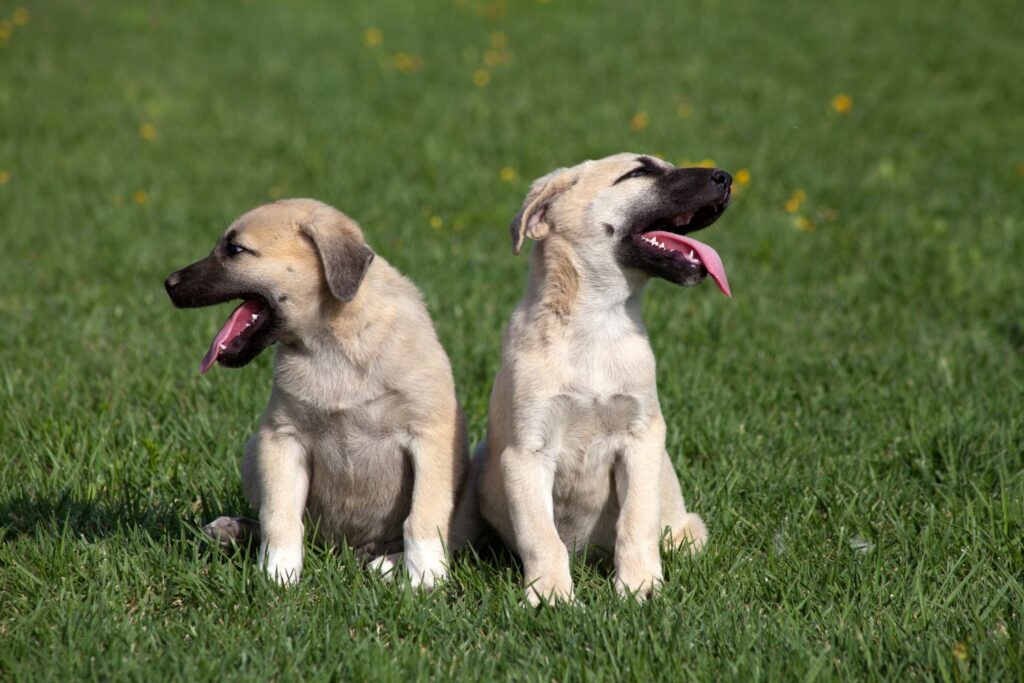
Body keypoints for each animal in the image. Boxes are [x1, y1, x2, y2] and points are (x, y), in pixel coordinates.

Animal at [164, 197, 475, 589]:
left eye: (235, 249)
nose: (168, 283)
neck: (333, 342)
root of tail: (348, 549)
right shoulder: (281, 438)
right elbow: (279, 515)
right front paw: (277, 574)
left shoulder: (430, 436)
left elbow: (423, 515)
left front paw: (423, 579)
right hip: (254, 452)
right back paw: (231, 530)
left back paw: (386, 565)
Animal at [473, 153, 724, 602]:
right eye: (639, 172)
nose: (726, 178)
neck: (596, 328)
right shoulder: (526, 452)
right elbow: (541, 535)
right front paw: (551, 595)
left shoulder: (641, 438)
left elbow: (636, 521)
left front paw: (640, 587)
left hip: (688, 528)